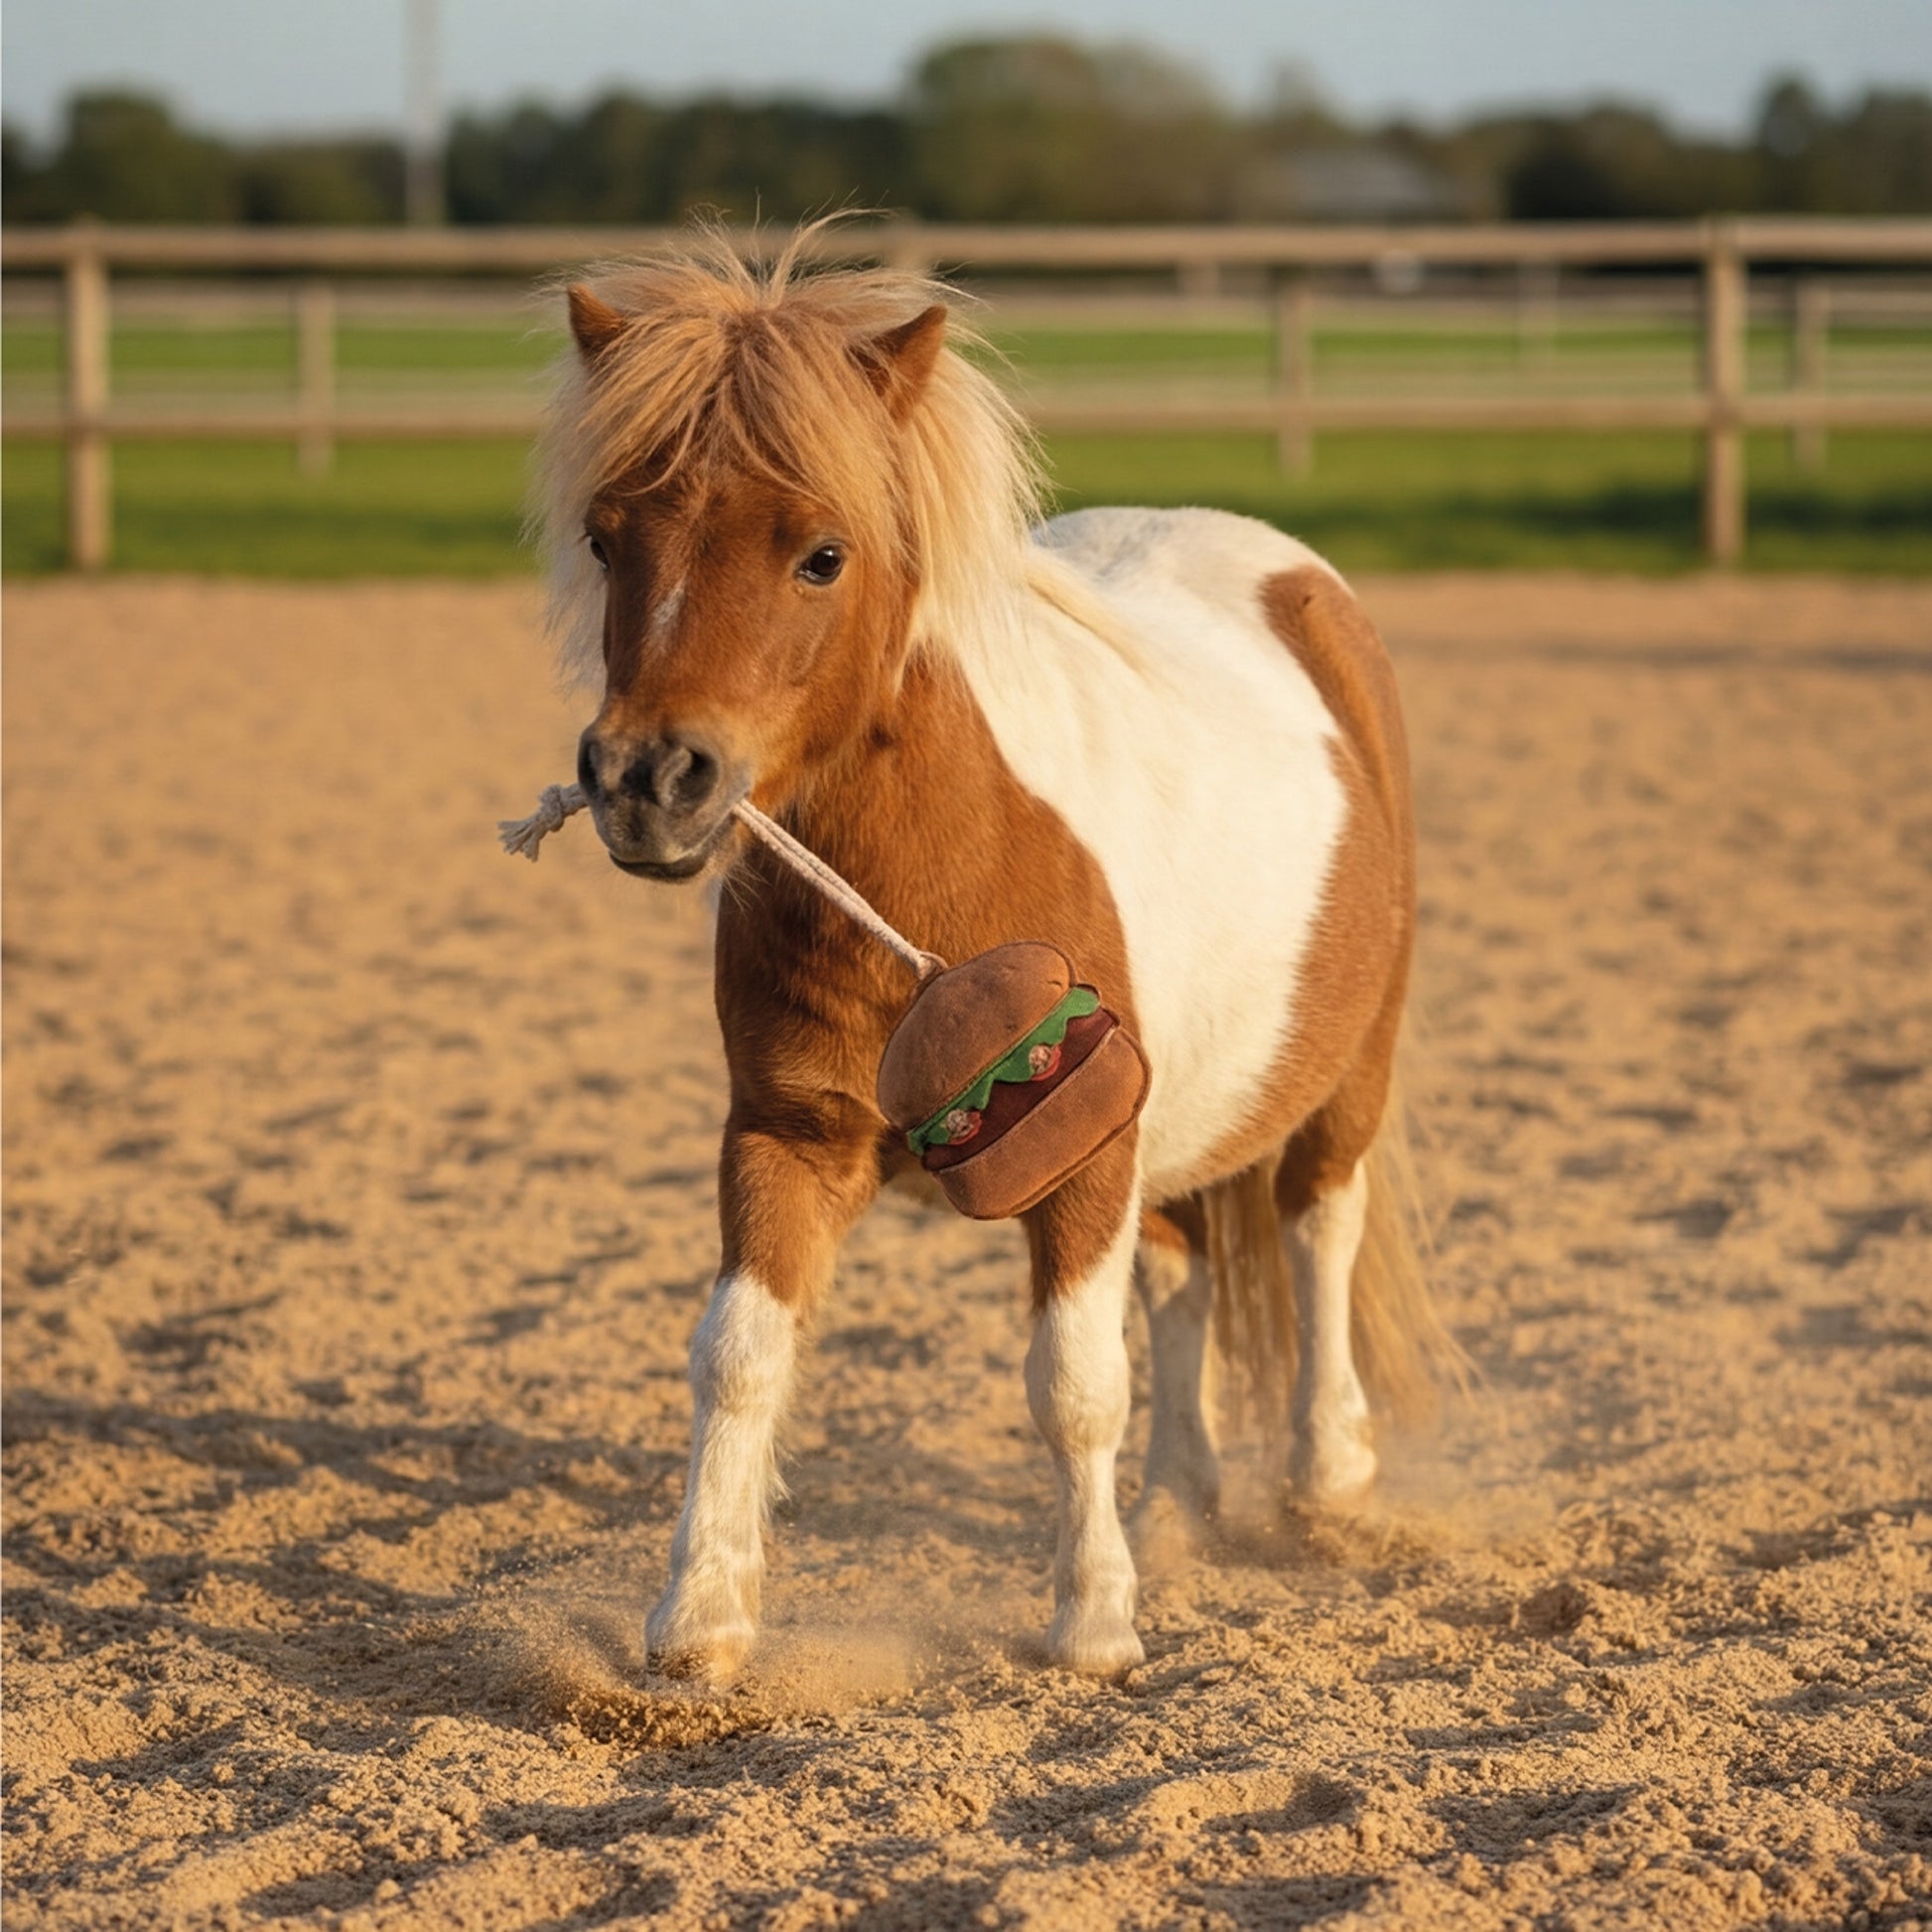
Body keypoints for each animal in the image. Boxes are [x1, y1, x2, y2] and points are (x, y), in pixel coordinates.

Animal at [538, 225, 1458, 1678]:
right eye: (604, 535)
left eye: (821, 554)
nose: (647, 780)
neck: (934, 885)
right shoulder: (784, 1138)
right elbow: (737, 1355)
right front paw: (699, 1621)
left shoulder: (1080, 1158)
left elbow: (1074, 1384)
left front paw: (1090, 1624)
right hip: (1174, 1130)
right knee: (1185, 1273)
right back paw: (1179, 1509)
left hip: (1344, 1075)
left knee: (1318, 1230)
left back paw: (1328, 1482)